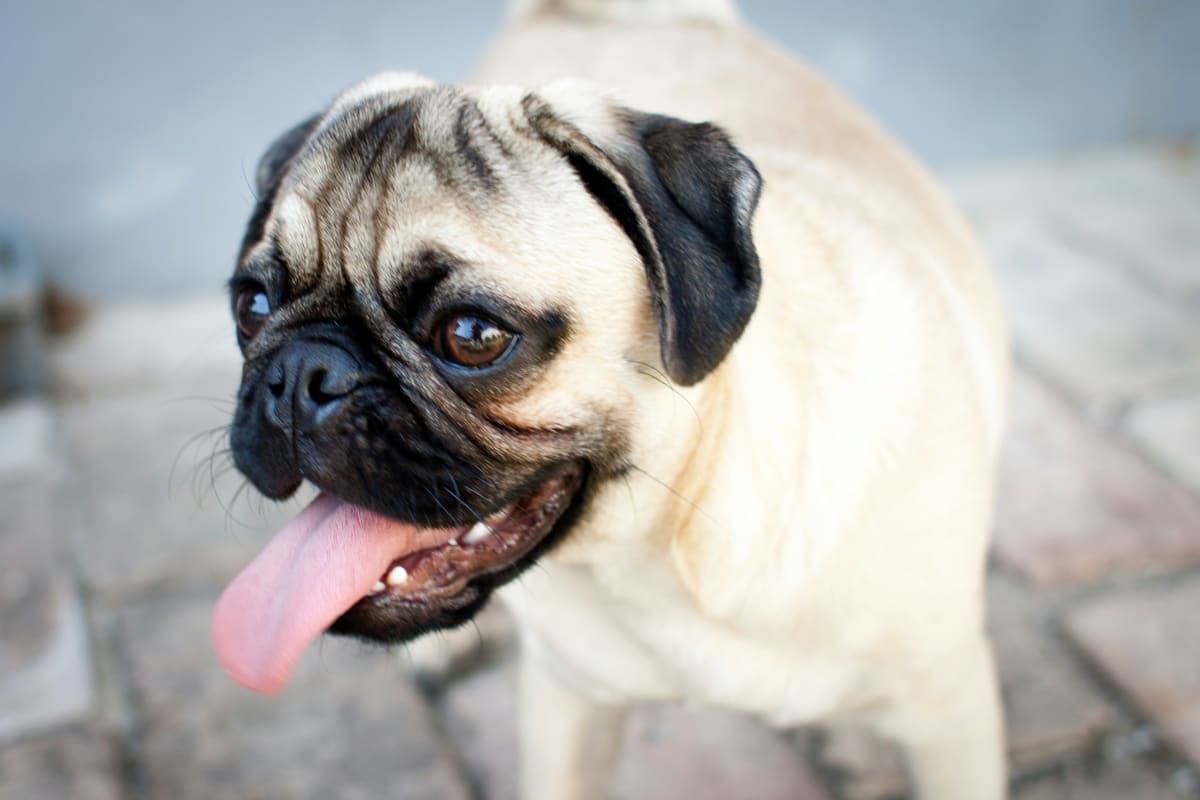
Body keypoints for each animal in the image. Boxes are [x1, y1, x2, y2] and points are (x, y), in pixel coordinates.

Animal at [211, 1, 1008, 800]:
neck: (667, 545)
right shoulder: (566, 702)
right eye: (250, 307)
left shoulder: (950, 715)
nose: (301, 375)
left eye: (472, 335)